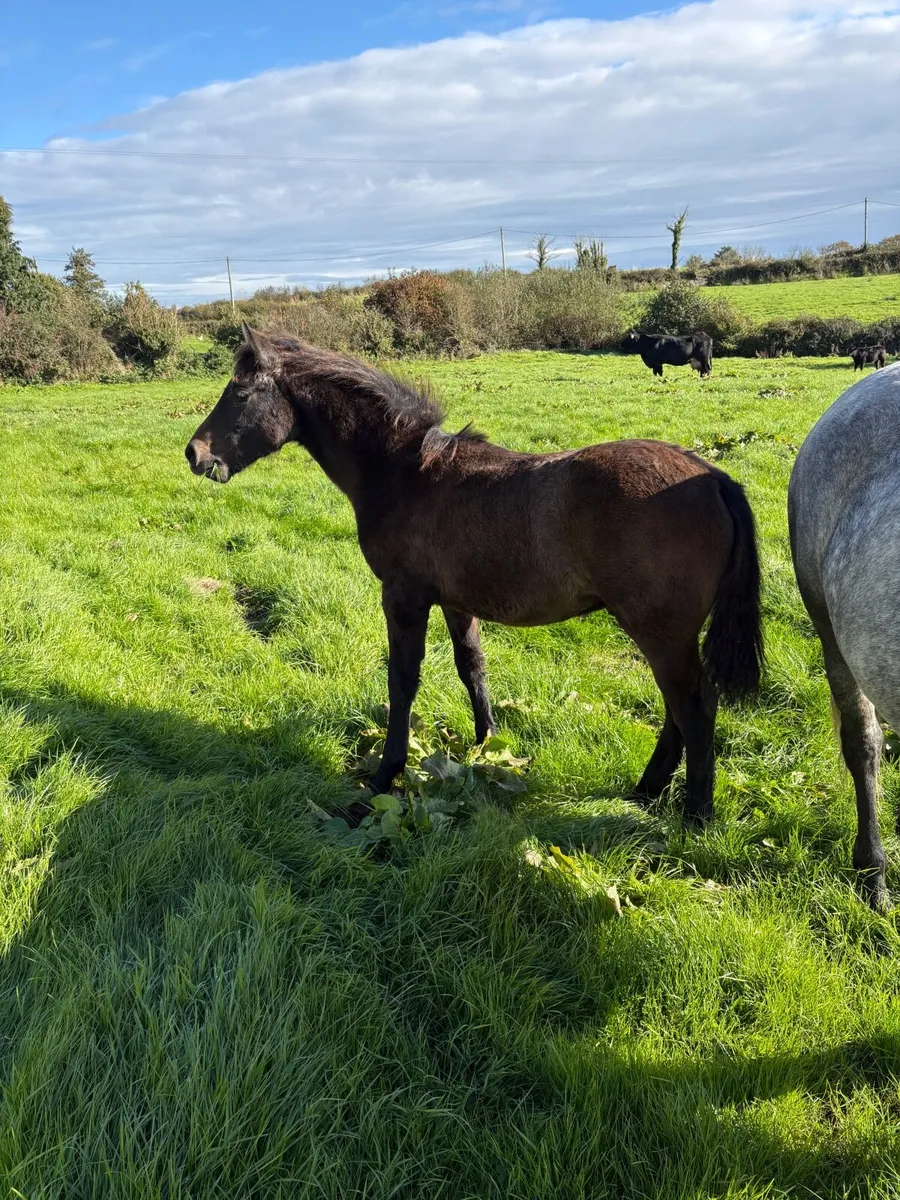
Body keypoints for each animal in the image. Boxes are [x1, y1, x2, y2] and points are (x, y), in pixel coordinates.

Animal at [186, 326, 763, 822]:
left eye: (240, 395)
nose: (195, 454)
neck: (405, 474)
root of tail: (713, 476)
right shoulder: (456, 601)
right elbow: (472, 669)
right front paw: (487, 749)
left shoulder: (404, 598)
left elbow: (403, 682)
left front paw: (385, 776)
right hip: (665, 633)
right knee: (676, 708)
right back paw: (646, 791)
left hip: (658, 630)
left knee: (694, 706)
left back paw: (694, 814)